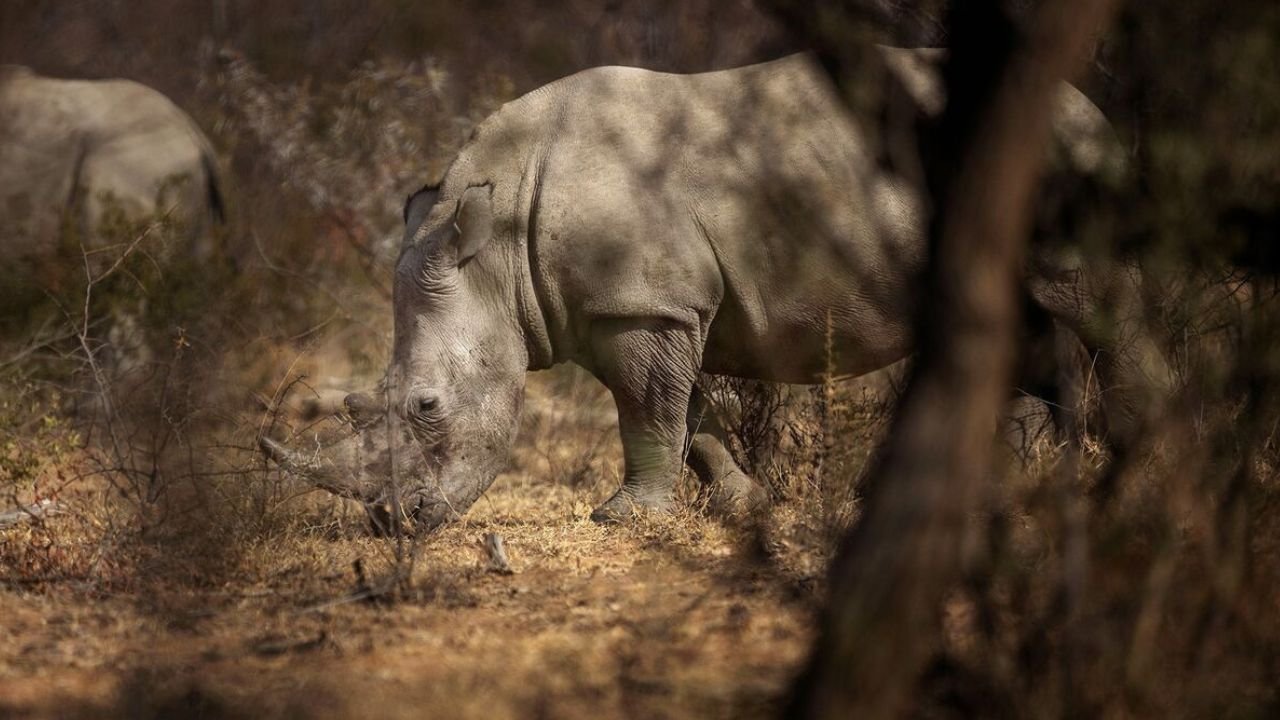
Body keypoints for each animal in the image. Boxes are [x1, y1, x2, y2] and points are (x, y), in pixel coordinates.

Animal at [263, 48, 1168, 532]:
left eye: (426, 407)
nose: (391, 524)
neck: (496, 246)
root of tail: (1087, 104)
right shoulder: (628, 307)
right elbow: (683, 410)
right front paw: (740, 502)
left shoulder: (642, 304)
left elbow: (649, 410)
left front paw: (625, 518)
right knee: (1024, 325)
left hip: (1065, 163)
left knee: (1088, 306)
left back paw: (1143, 458)